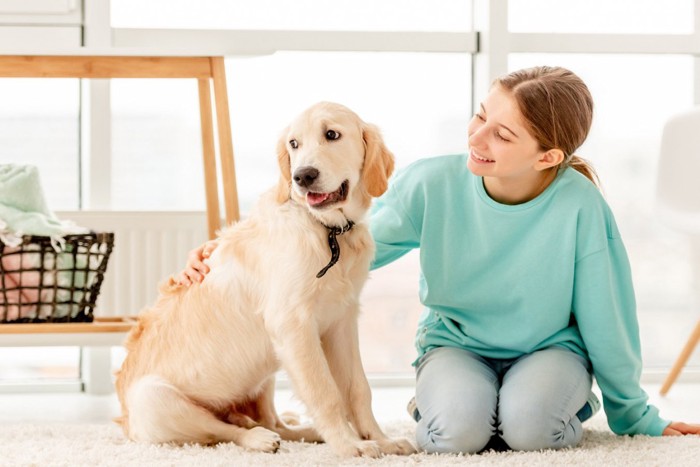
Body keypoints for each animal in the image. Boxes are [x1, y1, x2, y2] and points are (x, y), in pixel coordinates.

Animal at [116, 101, 416, 458]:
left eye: (332, 135)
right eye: (294, 144)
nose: (302, 176)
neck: (326, 230)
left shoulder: (342, 321)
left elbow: (359, 388)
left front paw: (381, 440)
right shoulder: (293, 324)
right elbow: (325, 391)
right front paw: (349, 445)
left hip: (266, 369)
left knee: (271, 422)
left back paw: (303, 431)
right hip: (155, 400)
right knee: (224, 430)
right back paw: (258, 438)